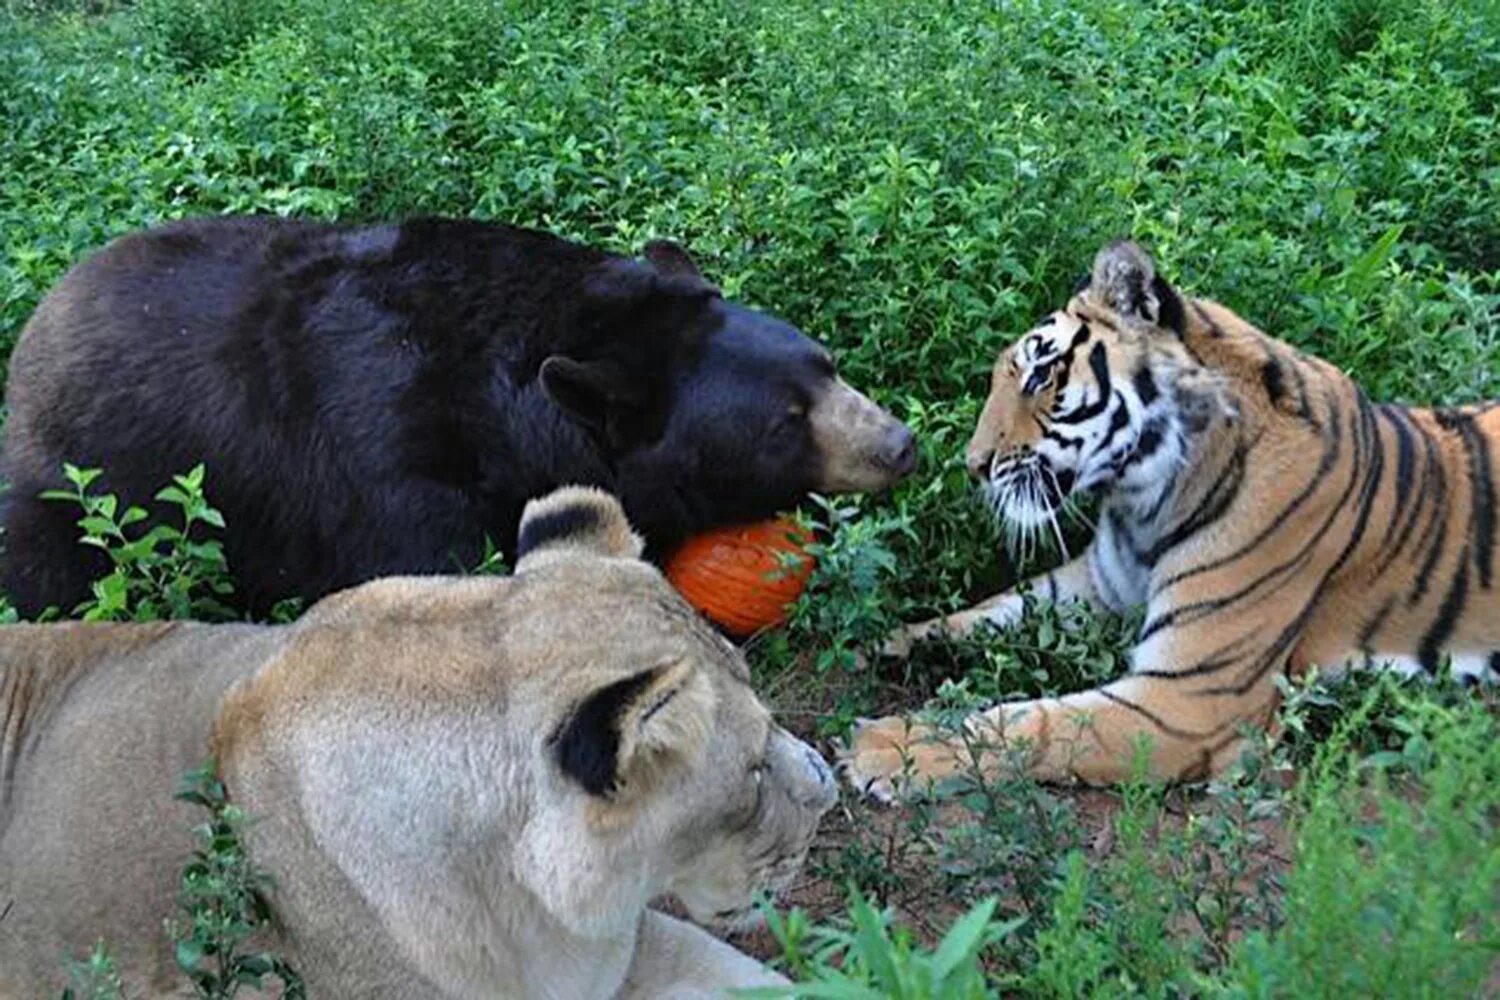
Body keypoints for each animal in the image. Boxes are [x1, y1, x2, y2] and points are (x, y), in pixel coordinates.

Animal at [846, 236, 1500, 797]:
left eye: (1043, 374)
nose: (973, 465)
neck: (1144, 500)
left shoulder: (1193, 699)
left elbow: (1034, 725)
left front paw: (889, 748)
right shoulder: (1096, 585)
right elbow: (980, 613)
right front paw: (876, 641)